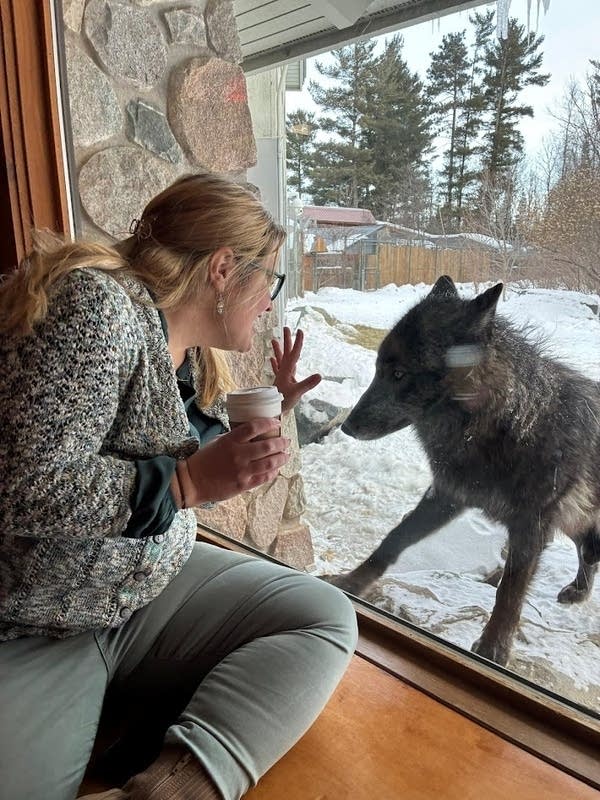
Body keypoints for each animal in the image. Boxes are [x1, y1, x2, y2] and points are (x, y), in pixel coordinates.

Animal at [328, 276, 600, 666]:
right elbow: (393, 540)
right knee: (588, 548)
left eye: (399, 373)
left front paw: (493, 649)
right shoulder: (447, 496)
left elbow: (510, 592)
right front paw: (350, 584)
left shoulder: (531, 525)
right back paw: (574, 591)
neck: (504, 424)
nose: (347, 426)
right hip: (573, 518)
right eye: (378, 368)